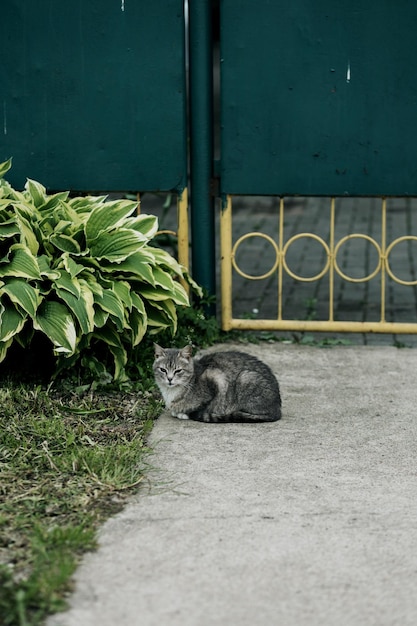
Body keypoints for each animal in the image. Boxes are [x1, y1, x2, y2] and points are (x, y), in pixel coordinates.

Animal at [152, 344, 280, 422]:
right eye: (163, 370)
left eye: (178, 371)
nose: (169, 379)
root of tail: (277, 409)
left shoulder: (218, 379)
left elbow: (203, 406)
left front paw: (183, 413)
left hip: (246, 377)